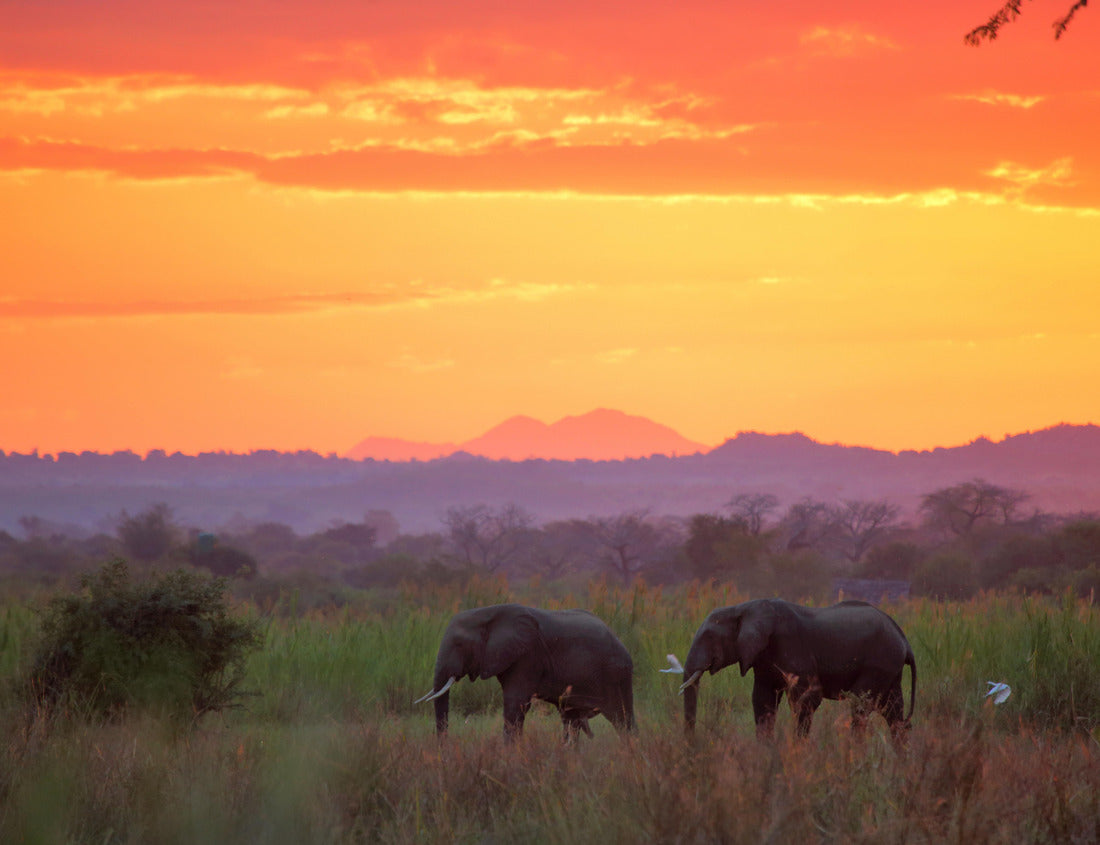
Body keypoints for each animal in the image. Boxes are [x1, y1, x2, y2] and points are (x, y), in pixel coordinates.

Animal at [415, 603, 635, 740]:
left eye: (459, 644)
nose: (444, 752)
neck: (487, 613)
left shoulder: (528, 655)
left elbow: (515, 703)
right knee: (572, 720)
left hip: (615, 675)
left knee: (622, 719)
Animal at [679, 599, 915, 741]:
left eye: (709, 636)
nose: (692, 744)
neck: (742, 608)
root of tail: (904, 639)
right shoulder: (762, 658)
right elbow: (763, 700)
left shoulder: (791, 645)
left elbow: (807, 698)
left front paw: (798, 751)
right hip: (890, 668)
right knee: (893, 712)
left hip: (879, 662)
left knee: (860, 707)